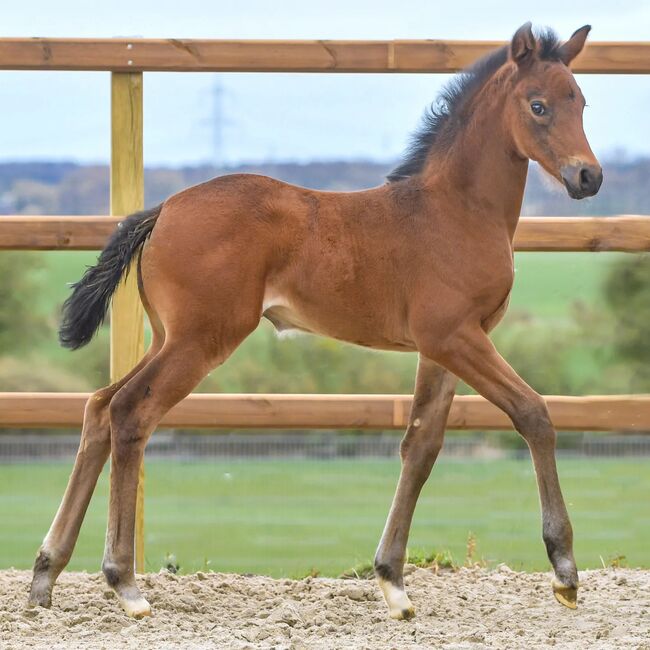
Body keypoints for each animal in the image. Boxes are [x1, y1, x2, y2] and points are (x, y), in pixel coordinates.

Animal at [29, 24, 596, 616]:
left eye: (581, 101)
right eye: (537, 105)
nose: (588, 176)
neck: (455, 210)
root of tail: (162, 211)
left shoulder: (443, 347)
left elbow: (421, 445)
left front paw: (392, 580)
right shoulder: (455, 337)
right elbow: (533, 414)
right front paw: (564, 570)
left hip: (167, 338)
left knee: (99, 406)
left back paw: (46, 574)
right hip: (200, 341)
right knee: (129, 413)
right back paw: (124, 582)